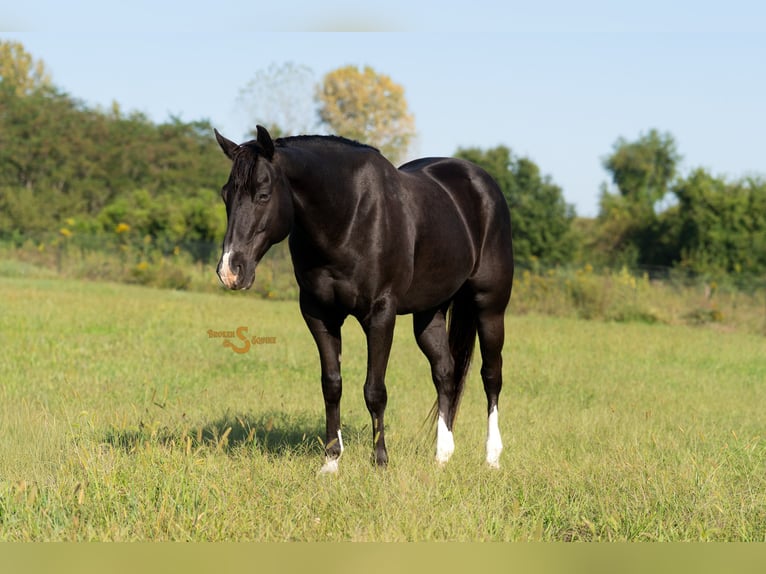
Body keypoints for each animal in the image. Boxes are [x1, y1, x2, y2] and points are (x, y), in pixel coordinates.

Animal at [214, 125, 514, 473]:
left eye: (263, 195)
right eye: (226, 195)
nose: (230, 270)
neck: (349, 217)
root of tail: (481, 183)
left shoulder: (381, 314)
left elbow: (375, 390)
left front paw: (380, 461)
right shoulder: (318, 313)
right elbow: (331, 385)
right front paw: (331, 461)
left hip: (490, 306)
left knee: (491, 375)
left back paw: (492, 457)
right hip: (429, 313)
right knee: (445, 373)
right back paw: (442, 455)